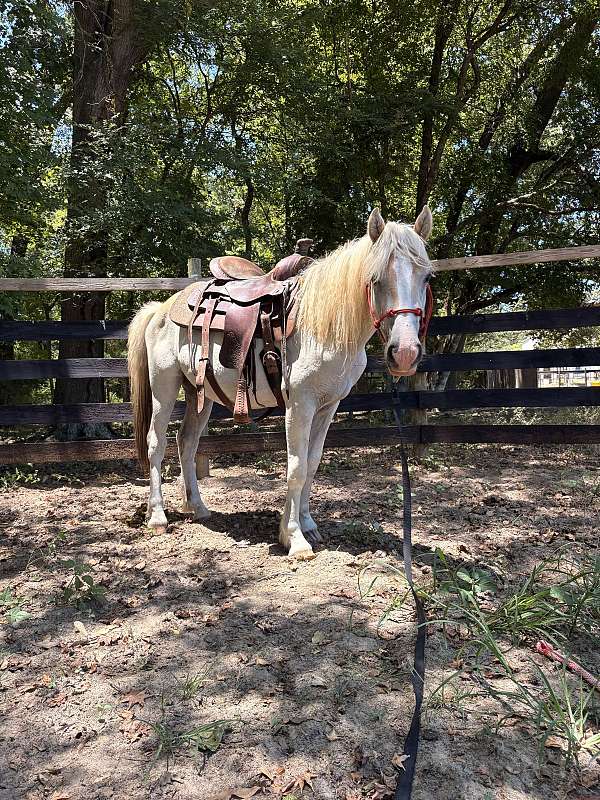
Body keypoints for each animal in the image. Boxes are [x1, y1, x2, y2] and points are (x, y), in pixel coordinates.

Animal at [127, 206, 435, 560]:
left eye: (427, 277)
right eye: (375, 278)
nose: (405, 353)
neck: (324, 327)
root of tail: (161, 308)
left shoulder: (328, 406)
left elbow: (311, 464)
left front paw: (306, 526)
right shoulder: (300, 405)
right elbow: (296, 467)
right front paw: (295, 539)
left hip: (199, 394)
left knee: (187, 442)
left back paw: (198, 507)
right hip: (164, 388)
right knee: (156, 443)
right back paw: (158, 516)